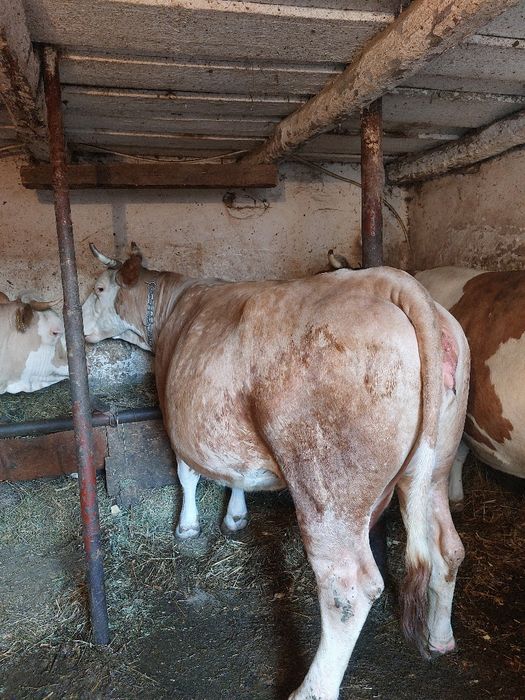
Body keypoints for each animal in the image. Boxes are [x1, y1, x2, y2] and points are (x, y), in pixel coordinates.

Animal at [83, 243, 469, 700]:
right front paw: (235, 515)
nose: (79, 327)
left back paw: (311, 690)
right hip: (433, 469)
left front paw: (187, 526)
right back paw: (439, 637)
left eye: (99, 288)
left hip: (327, 488)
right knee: (448, 546)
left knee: (347, 586)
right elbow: (235, 474)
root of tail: (387, 280)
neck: (174, 307)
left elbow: (187, 472)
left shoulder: (177, 415)